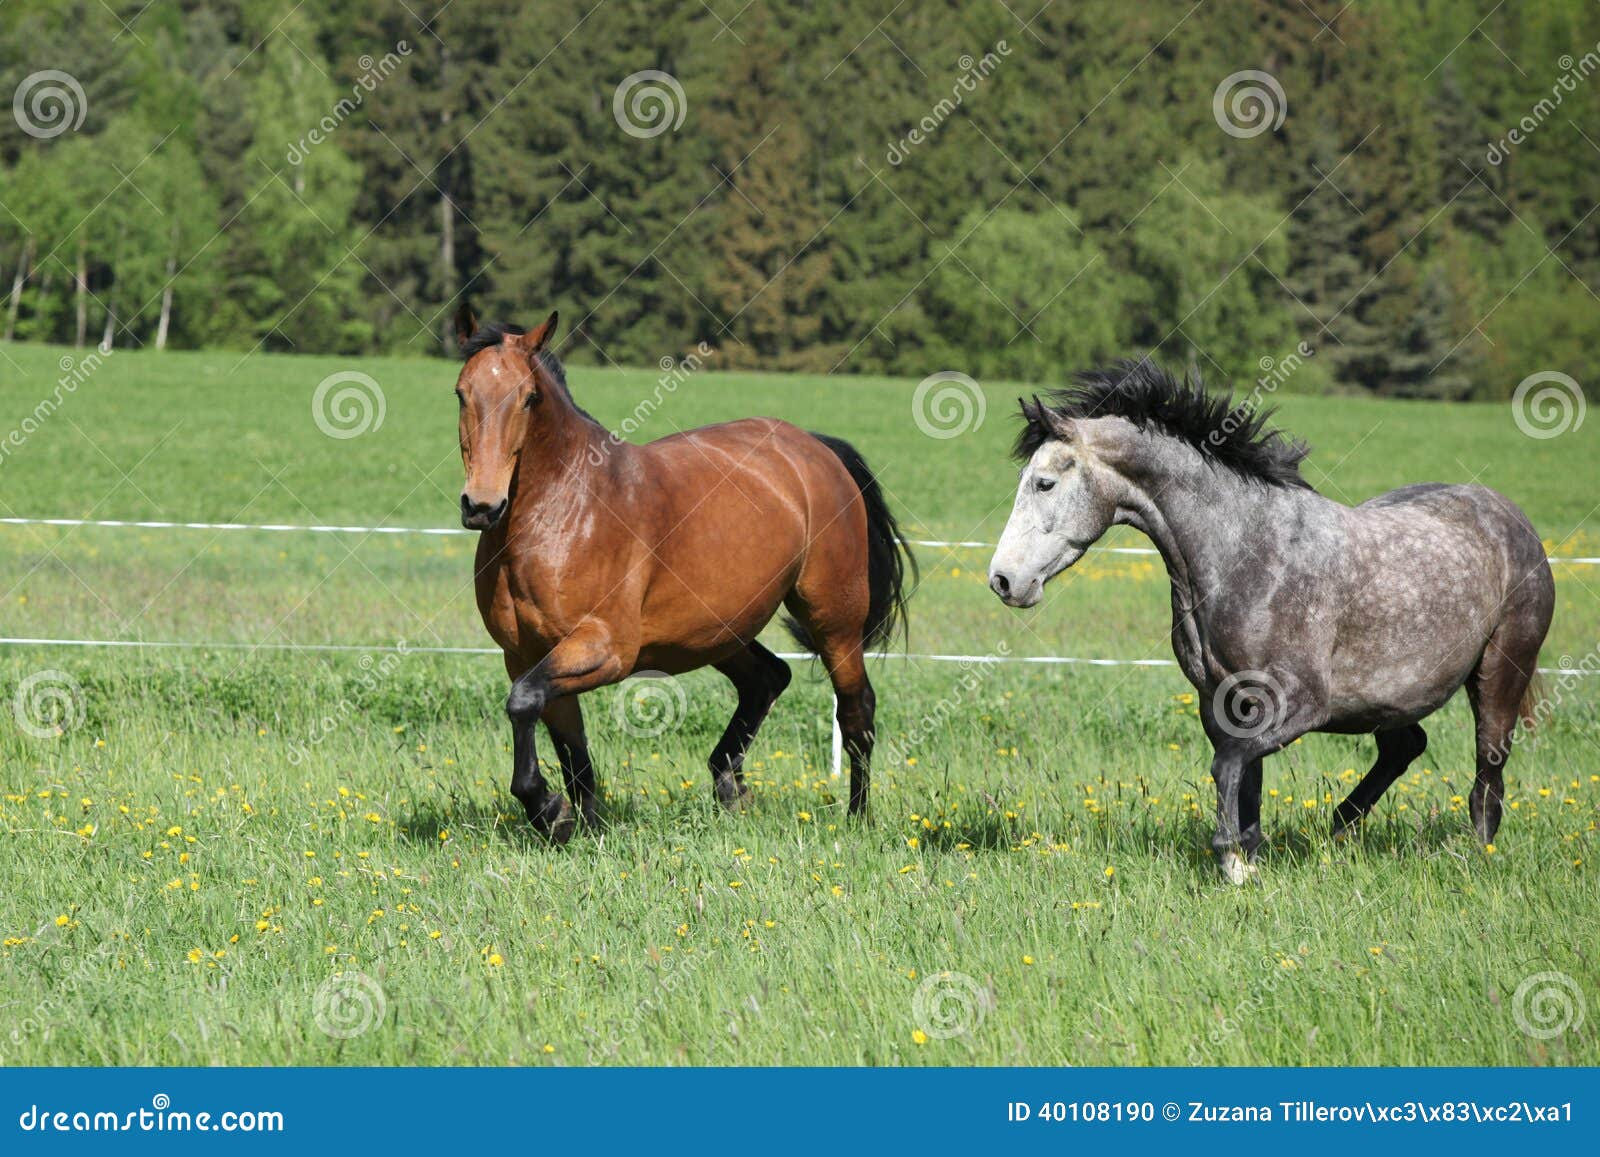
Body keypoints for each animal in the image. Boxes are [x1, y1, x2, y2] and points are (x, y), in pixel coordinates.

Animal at [450, 304, 914, 840]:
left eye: (528, 398)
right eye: (461, 392)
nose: (482, 506)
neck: (564, 511)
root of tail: (816, 449)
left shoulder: (605, 650)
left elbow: (524, 703)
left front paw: (548, 810)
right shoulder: (527, 655)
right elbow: (569, 746)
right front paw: (577, 825)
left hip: (833, 621)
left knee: (857, 712)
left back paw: (856, 818)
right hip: (718, 631)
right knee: (768, 678)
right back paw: (732, 790)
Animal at [986, 360, 1554, 884]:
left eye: (1044, 483)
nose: (1003, 581)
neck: (1248, 554)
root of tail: (1512, 516)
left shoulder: (1302, 703)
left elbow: (1228, 766)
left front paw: (1231, 860)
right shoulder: (1225, 701)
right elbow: (1246, 780)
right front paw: (1249, 861)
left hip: (1499, 675)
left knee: (1487, 777)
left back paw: (1472, 858)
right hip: (1386, 699)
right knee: (1406, 747)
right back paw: (1341, 829)